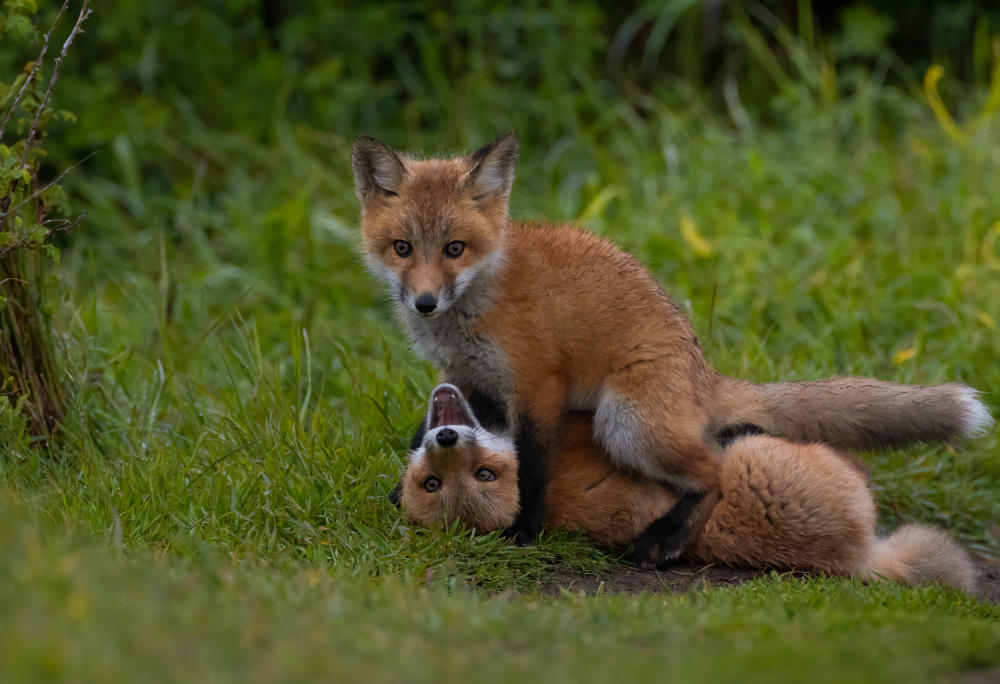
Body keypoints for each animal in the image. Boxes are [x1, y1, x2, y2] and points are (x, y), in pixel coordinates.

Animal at [352, 131, 993, 567]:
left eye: (455, 248)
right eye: (403, 248)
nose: (425, 303)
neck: (475, 308)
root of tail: (703, 374)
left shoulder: (537, 386)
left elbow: (532, 469)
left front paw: (523, 531)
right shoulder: (471, 379)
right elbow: (442, 425)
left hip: (624, 423)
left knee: (715, 468)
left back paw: (668, 538)